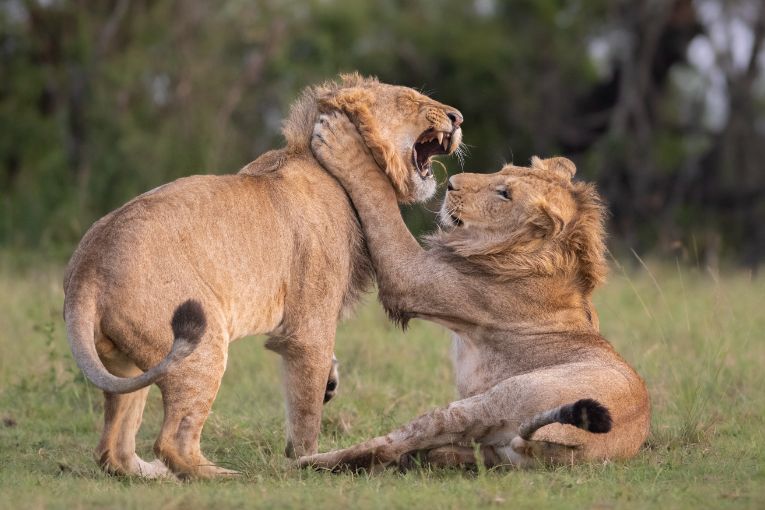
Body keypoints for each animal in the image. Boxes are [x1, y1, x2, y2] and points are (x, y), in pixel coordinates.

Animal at [62, 73, 462, 480]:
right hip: (200, 341)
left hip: (126, 364)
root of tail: (86, 270)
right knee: (172, 441)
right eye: (409, 99)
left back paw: (154, 473)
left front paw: (330, 383)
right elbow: (306, 412)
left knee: (112, 450)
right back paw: (225, 477)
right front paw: (308, 461)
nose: (457, 117)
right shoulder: (308, 326)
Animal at [298, 113, 652, 472]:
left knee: (394, 443)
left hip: (500, 396)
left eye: (505, 194)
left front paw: (339, 138)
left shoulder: (410, 278)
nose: (451, 182)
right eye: (502, 171)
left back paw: (307, 461)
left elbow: (380, 202)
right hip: (501, 448)